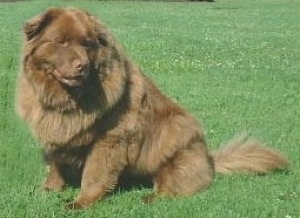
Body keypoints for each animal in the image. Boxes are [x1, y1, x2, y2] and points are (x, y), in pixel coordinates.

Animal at [15, 8, 288, 209]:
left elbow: (94, 174)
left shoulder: (110, 139)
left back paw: (150, 197)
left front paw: (80, 203)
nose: (82, 65)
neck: (67, 98)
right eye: (60, 42)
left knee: (174, 185)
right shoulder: (54, 128)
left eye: (88, 44)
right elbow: (54, 162)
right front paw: (49, 189)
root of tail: (210, 160)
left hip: (175, 140)